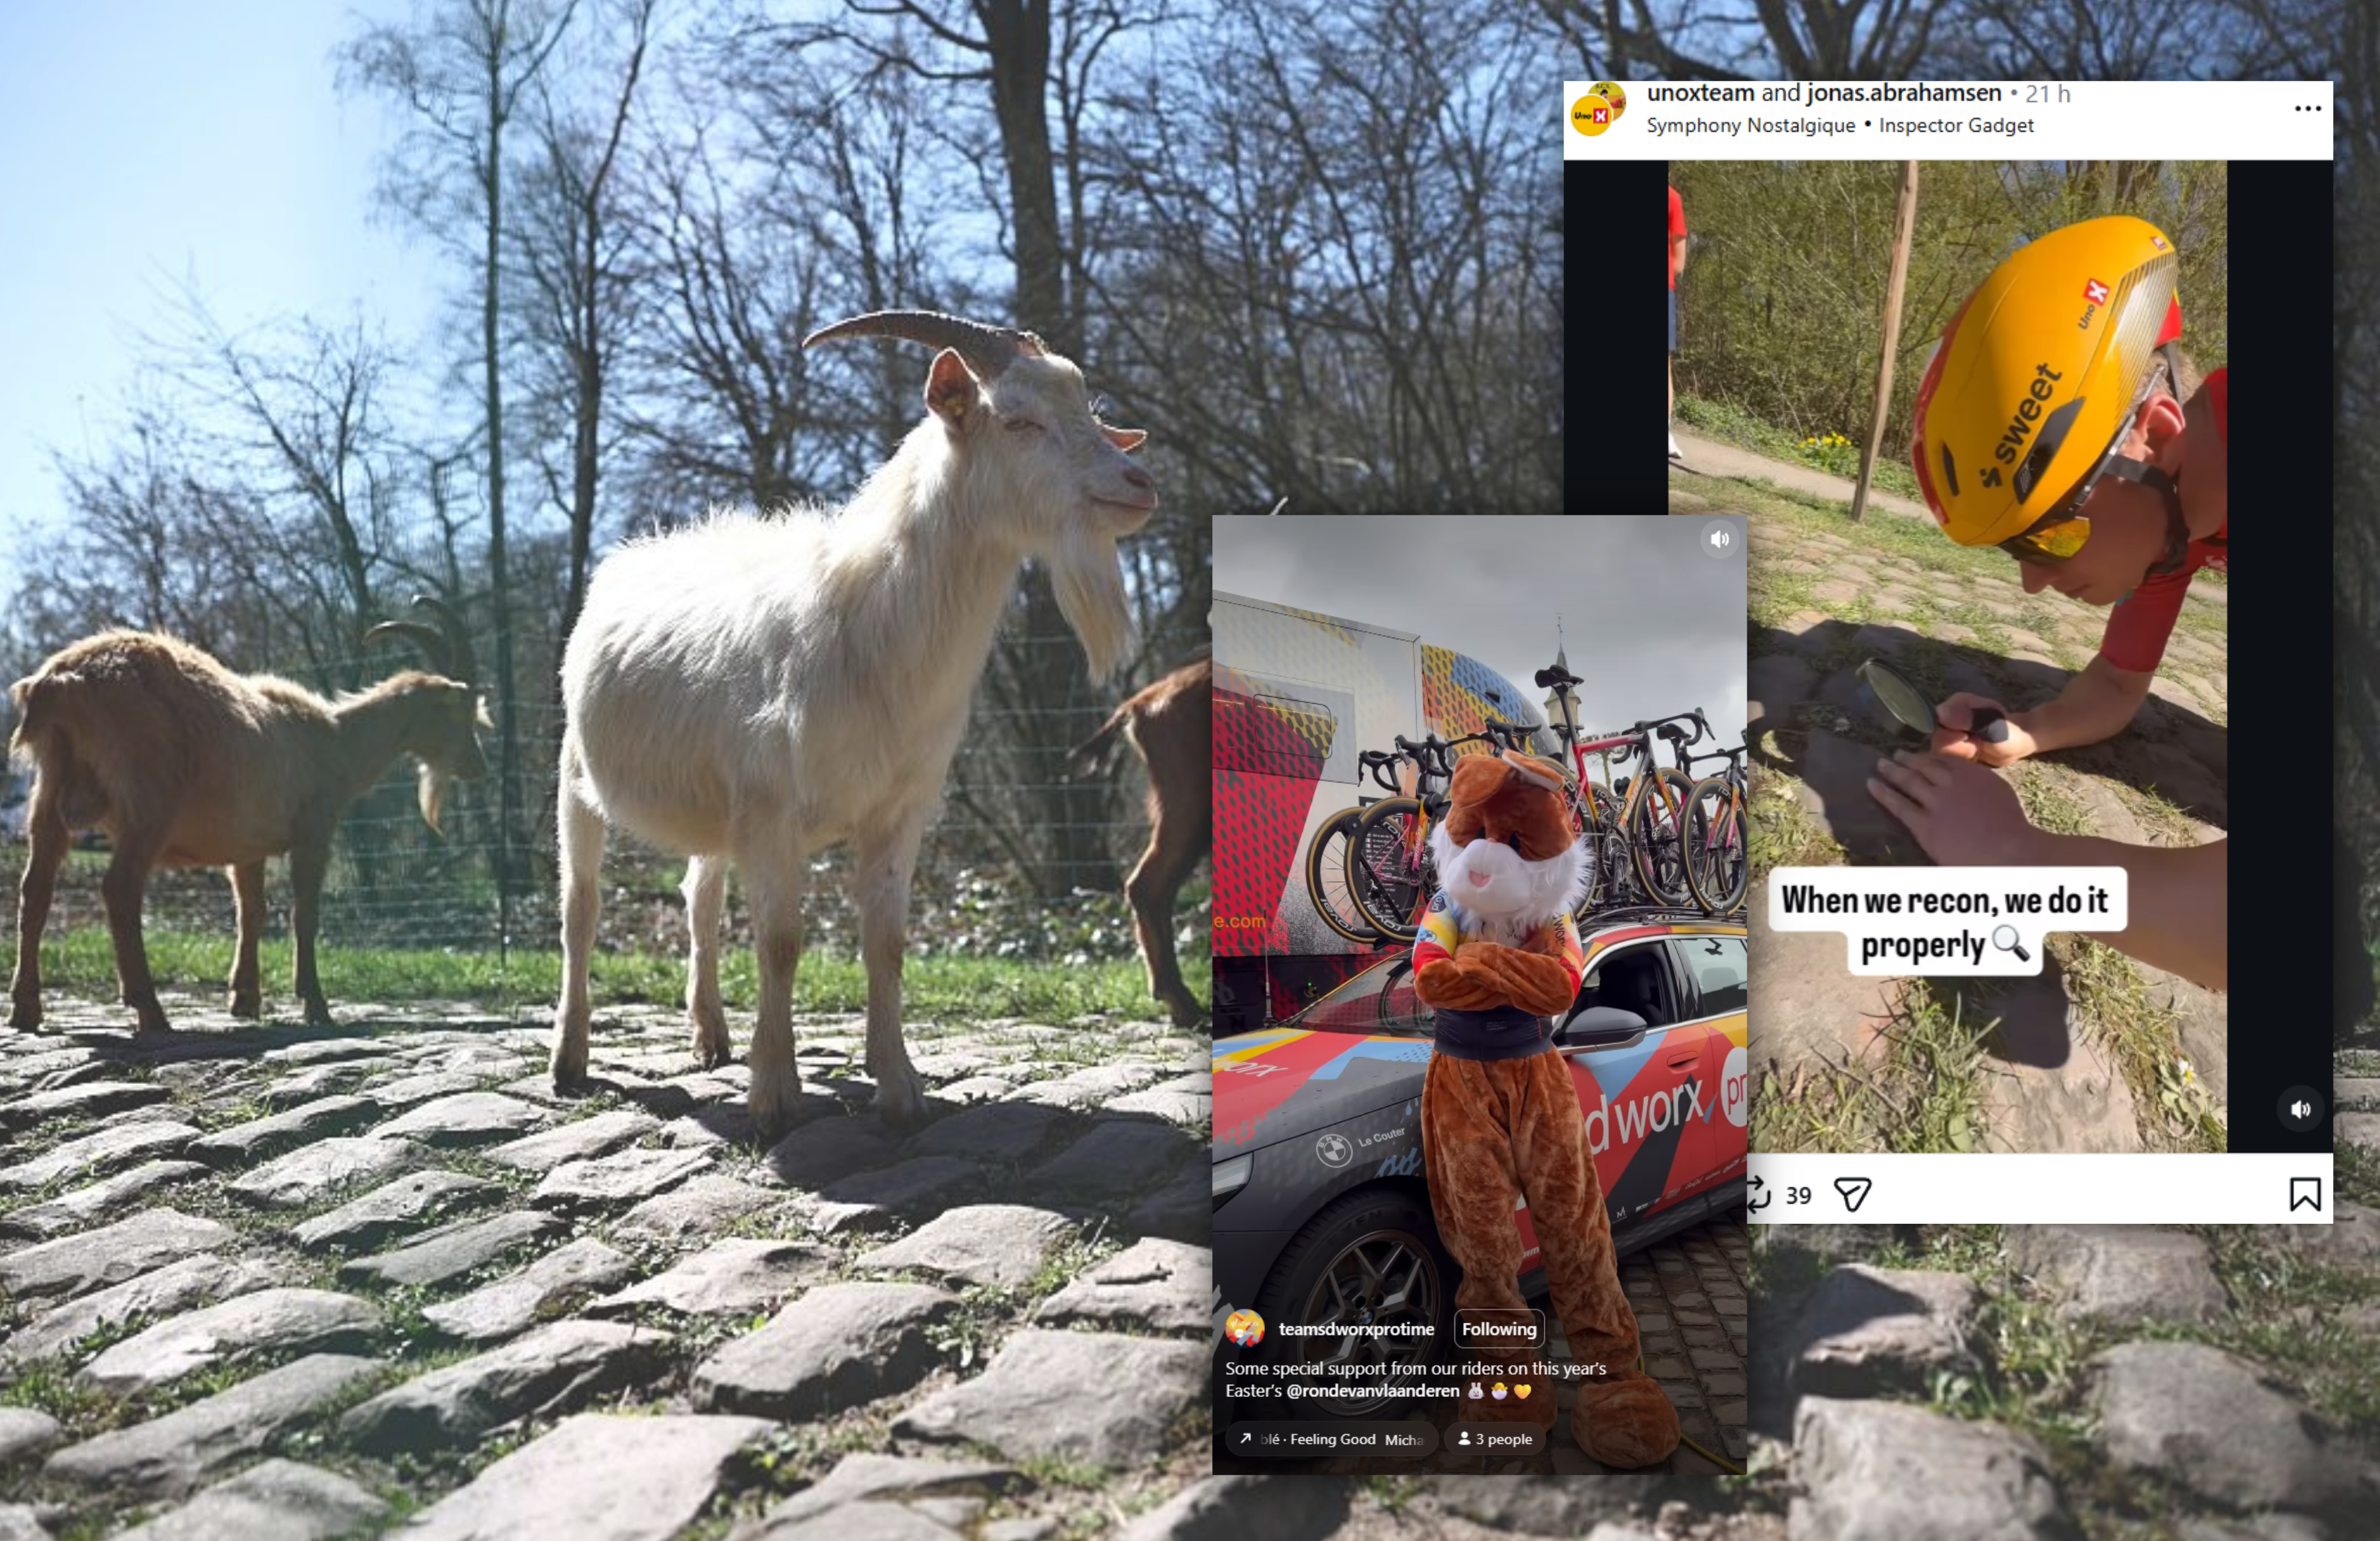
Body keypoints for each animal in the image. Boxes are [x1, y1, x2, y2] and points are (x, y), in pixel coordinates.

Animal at [6, 599, 488, 1035]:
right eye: (464, 711)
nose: (477, 765)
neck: (337, 740)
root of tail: (59, 683)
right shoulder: (314, 830)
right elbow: (304, 914)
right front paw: (315, 1005)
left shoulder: (247, 849)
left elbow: (252, 911)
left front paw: (245, 1000)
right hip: (149, 797)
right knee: (119, 887)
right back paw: (151, 1011)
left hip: (48, 789)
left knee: (35, 887)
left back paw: (26, 1009)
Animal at [552, 310, 1158, 1137]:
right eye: (1018, 420)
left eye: (1090, 410)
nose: (1139, 484)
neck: (865, 622)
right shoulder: (773, 808)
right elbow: (781, 942)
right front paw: (776, 1094)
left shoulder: (898, 811)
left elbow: (887, 943)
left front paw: (897, 1086)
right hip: (576, 777)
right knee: (580, 910)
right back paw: (570, 1060)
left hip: (716, 808)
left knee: (699, 898)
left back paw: (711, 1035)